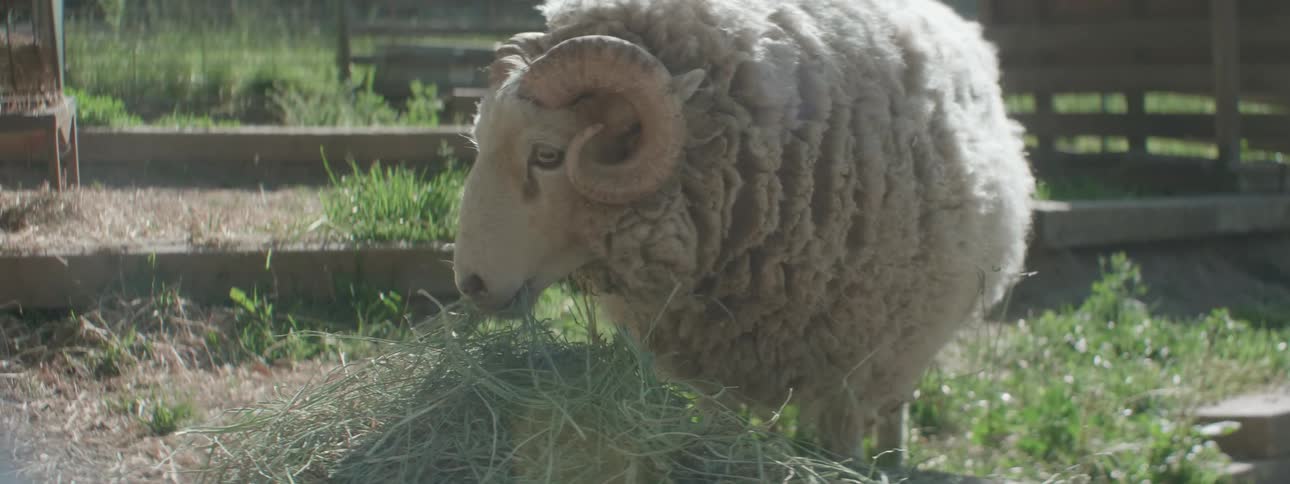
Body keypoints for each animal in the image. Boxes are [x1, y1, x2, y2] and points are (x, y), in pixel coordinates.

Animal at [450, 0, 1036, 467]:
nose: (471, 284)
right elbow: (717, 427)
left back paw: (893, 459)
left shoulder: (853, 365)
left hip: (907, 335)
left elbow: (846, 447)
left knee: (895, 404)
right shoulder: (715, 365)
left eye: (548, 155)